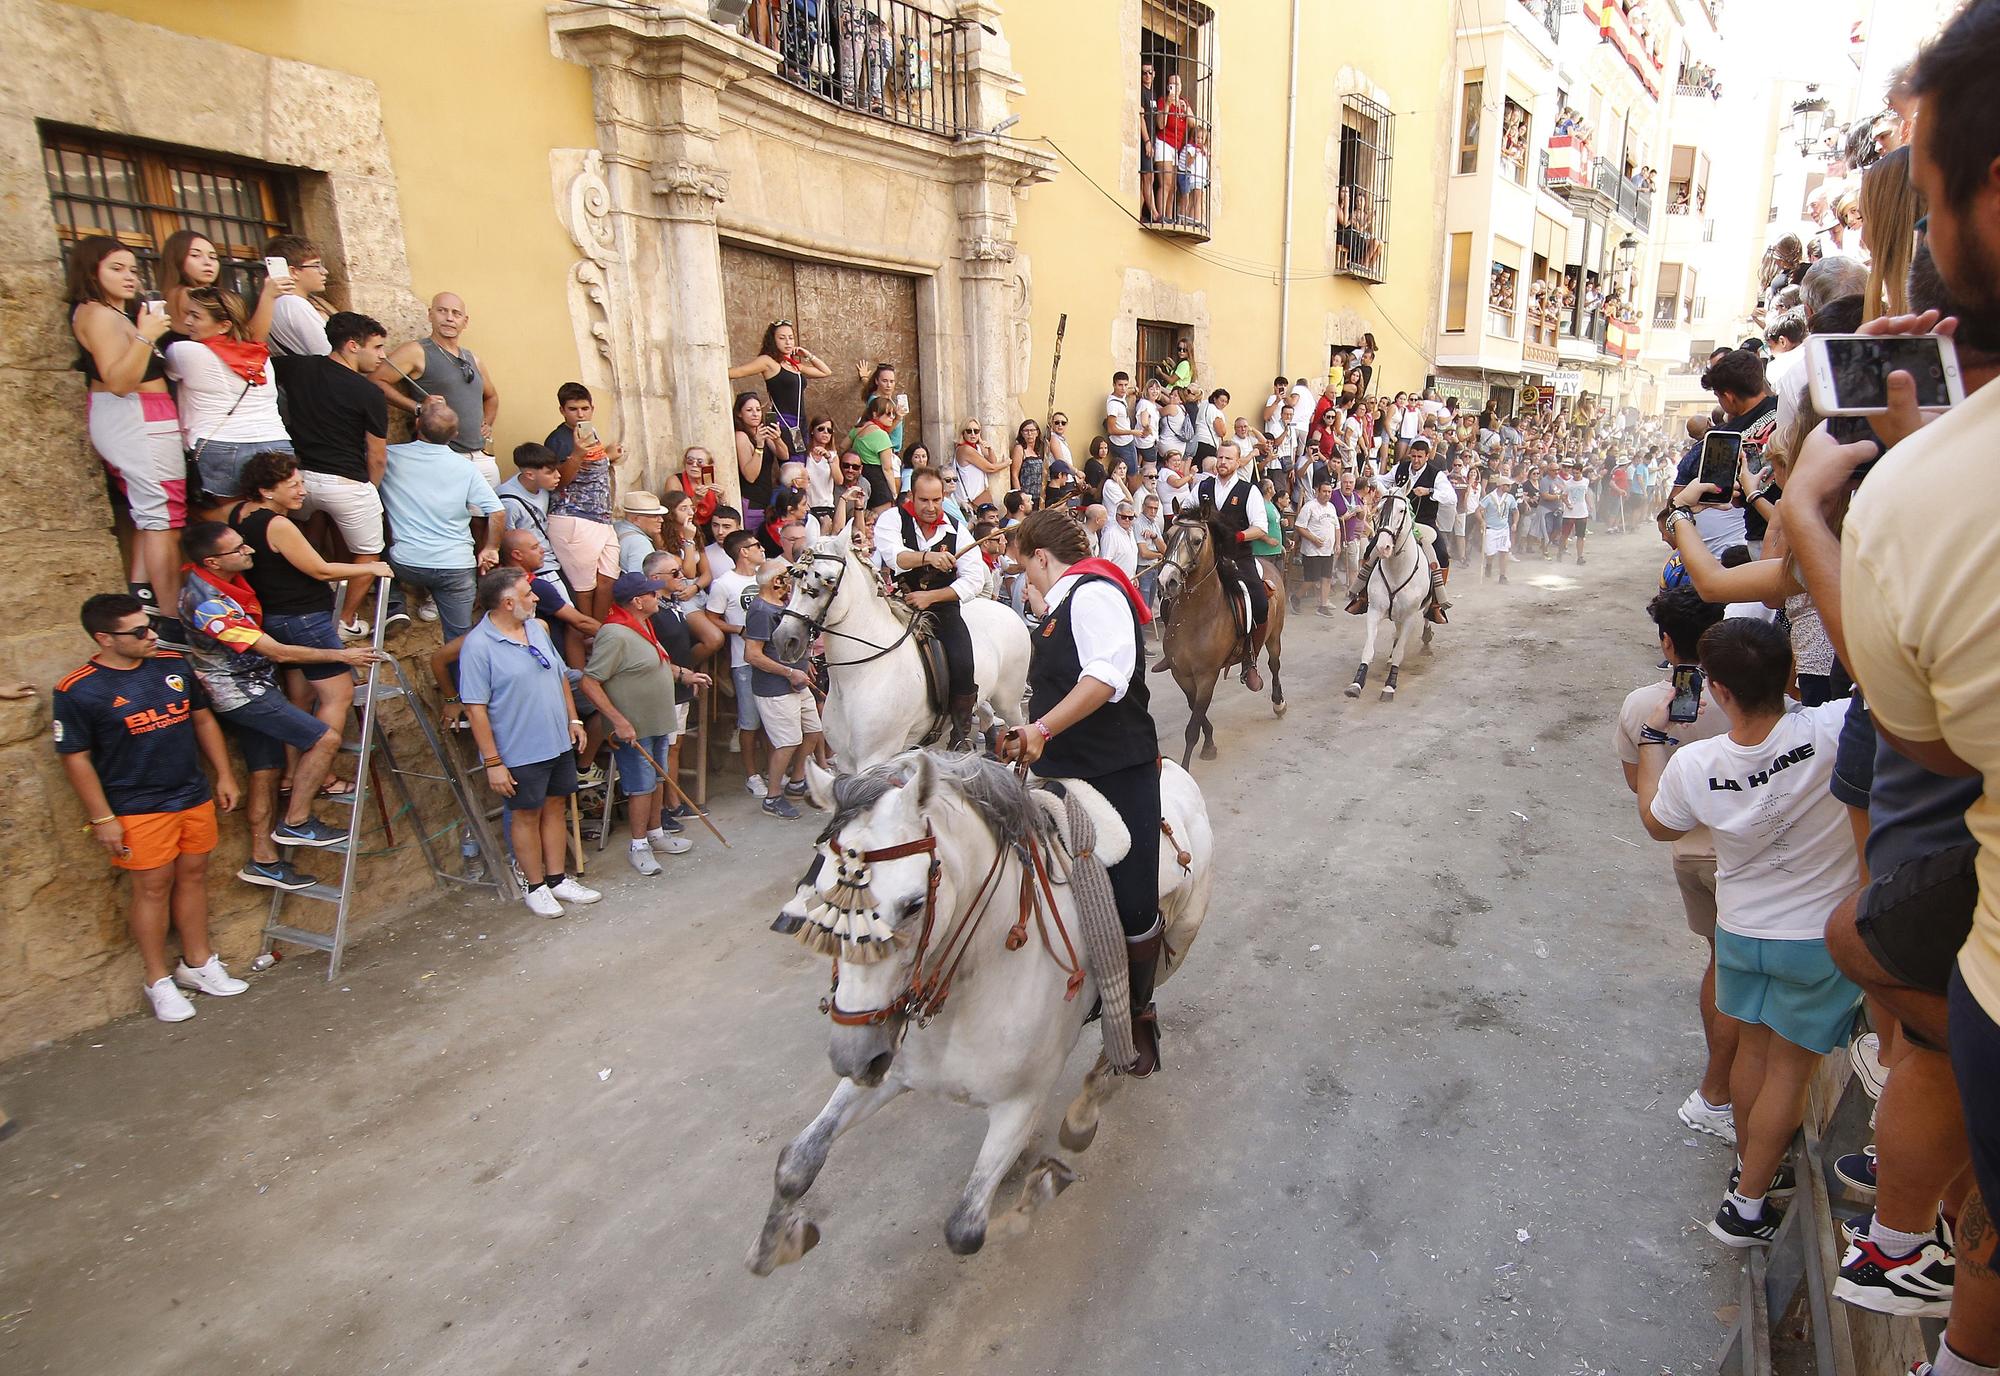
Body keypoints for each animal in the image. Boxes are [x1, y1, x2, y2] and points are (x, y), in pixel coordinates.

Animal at [752, 748, 1216, 1272]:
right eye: (820, 892)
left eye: (913, 905)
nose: (851, 1056)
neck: (978, 972)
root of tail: (1172, 767)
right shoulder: (888, 1069)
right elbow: (797, 1160)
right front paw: (776, 1244)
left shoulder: (1019, 1103)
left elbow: (965, 1230)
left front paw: (1044, 1183)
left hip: (1176, 941)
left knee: (1135, 1004)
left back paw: (1093, 1102)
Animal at [768, 532, 1040, 768]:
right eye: (794, 577)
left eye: (828, 579)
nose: (785, 640)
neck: (861, 675)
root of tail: (1005, 609)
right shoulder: (847, 762)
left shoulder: (874, 758)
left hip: (1008, 700)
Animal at [1152, 510, 1288, 768]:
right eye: (1167, 535)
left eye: (1197, 541)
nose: (1167, 581)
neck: (1195, 616)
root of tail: (1268, 563)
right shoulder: (1181, 674)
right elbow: (1196, 709)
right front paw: (1209, 743)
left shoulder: (1207, 675)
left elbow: (1192, 727)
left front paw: (1188, 765)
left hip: (1274, 635)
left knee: (1274, 664)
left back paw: (1278, 703)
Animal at [1344, 486, 1440, 704]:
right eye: (1378, 508)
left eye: (1402, 510)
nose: (1383, 547)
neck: (1397, 569)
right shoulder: (1374, 611)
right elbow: (1368, 649)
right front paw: (1356, 683)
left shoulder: (1409, 616)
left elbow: (1399, 654)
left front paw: (1389, 686)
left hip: (1422, 607)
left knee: (1426, 616)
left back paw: (1427, 636)